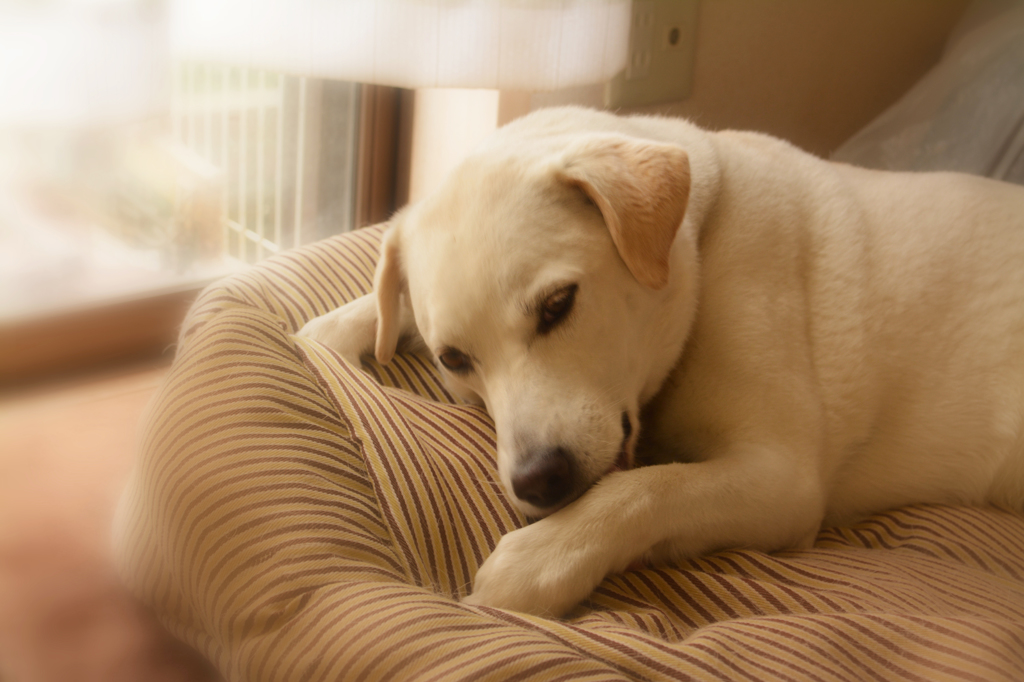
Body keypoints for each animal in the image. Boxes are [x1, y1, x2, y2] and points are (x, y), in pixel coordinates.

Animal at [296, 106, 1024, 614]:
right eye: (454, 359)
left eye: (558, 304)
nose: (540, 483)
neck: (703, 232)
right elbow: (374, 309)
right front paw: (331, 330)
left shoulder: (782, 478)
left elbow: (647, 488)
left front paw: (543, 557)